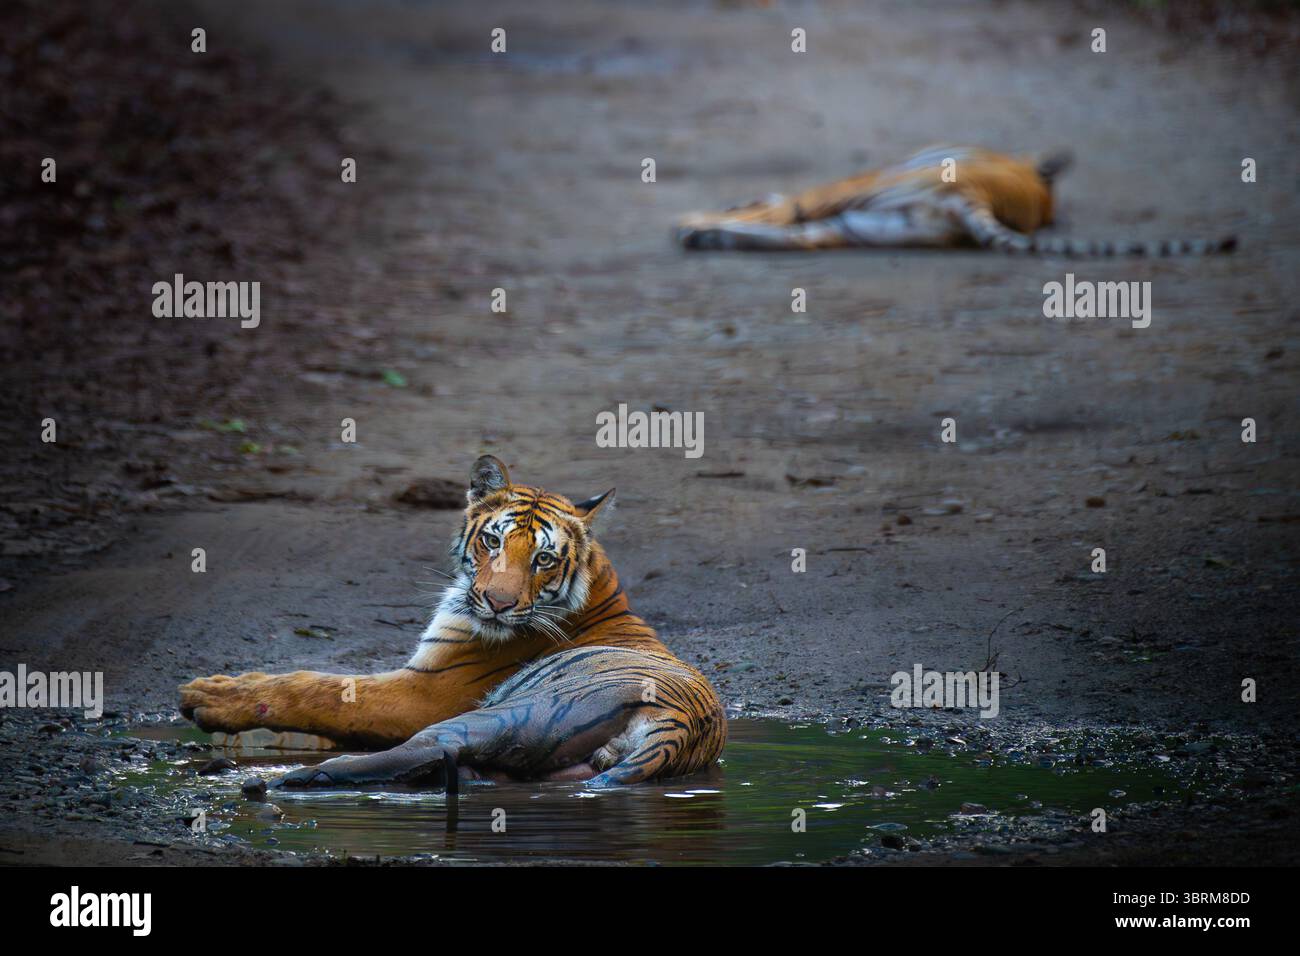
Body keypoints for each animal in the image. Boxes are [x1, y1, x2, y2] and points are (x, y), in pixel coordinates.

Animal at [178, 455, 727, 788]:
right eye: (493, 541)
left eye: (544, 559)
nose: (498, 603)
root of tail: (678, 728)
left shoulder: (422, 693)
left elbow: (318, 688)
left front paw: (209, 695)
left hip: (496, 716)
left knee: (420, 750)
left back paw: (273, 779)